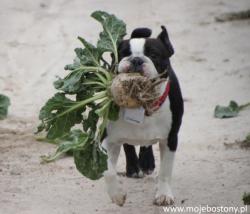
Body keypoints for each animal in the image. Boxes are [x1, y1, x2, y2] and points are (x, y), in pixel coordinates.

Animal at [102, 25, 184, 206]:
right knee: (129, 145)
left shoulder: (170, 139)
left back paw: (147, 163)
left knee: (146, 144)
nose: (136, 60)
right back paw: (134, 168)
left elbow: (165, 171)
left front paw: (163, 194)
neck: (141, 105)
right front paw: (117, 194)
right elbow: (108, 170)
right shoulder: (108, 139)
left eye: (153, 55)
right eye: (123, 54)